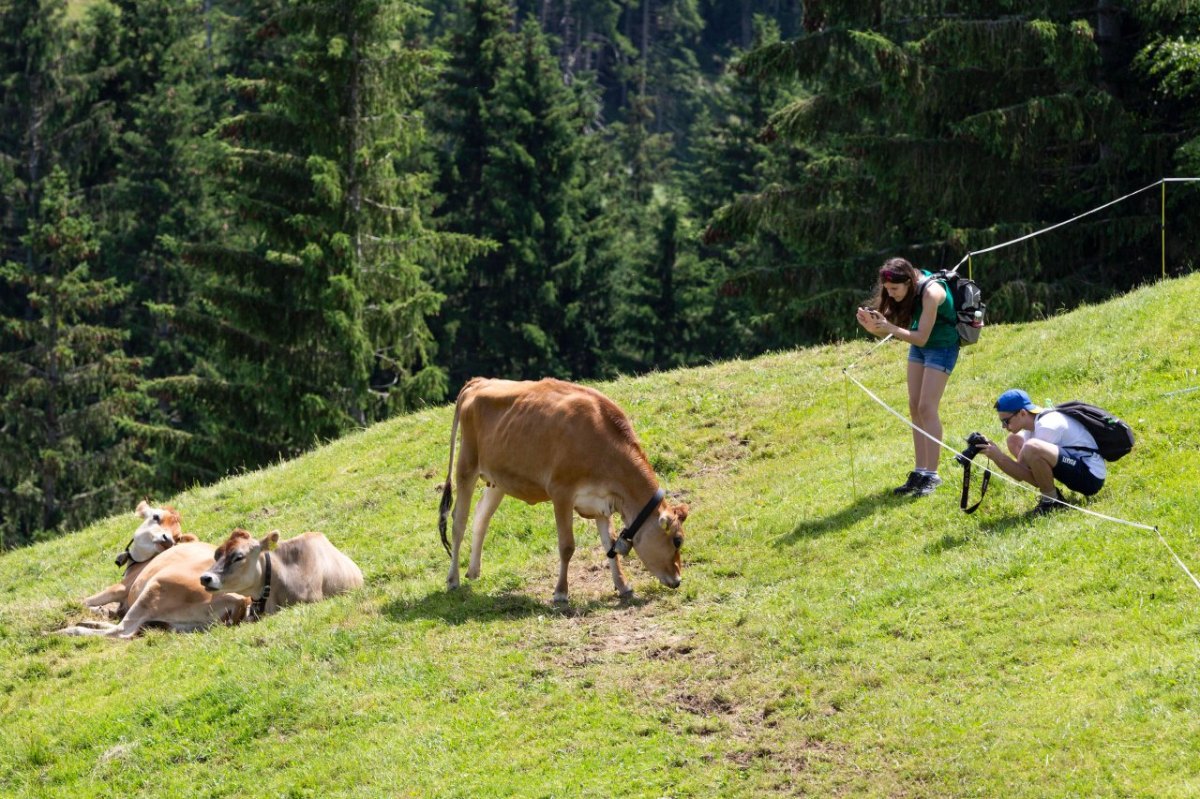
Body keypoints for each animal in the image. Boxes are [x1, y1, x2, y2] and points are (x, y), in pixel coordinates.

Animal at [438, 377, 690, 602]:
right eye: (677, 540)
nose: (678, 580)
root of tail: (479, 381)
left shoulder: (602, 501)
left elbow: (610, 544)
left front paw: (623, 585)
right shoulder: (561, 493)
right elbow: (567, 546)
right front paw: (561, 593)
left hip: (498, 479)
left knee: (481, 516)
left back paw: (473, 570)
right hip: (466, 467)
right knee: (458, 523)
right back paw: (453, 579)